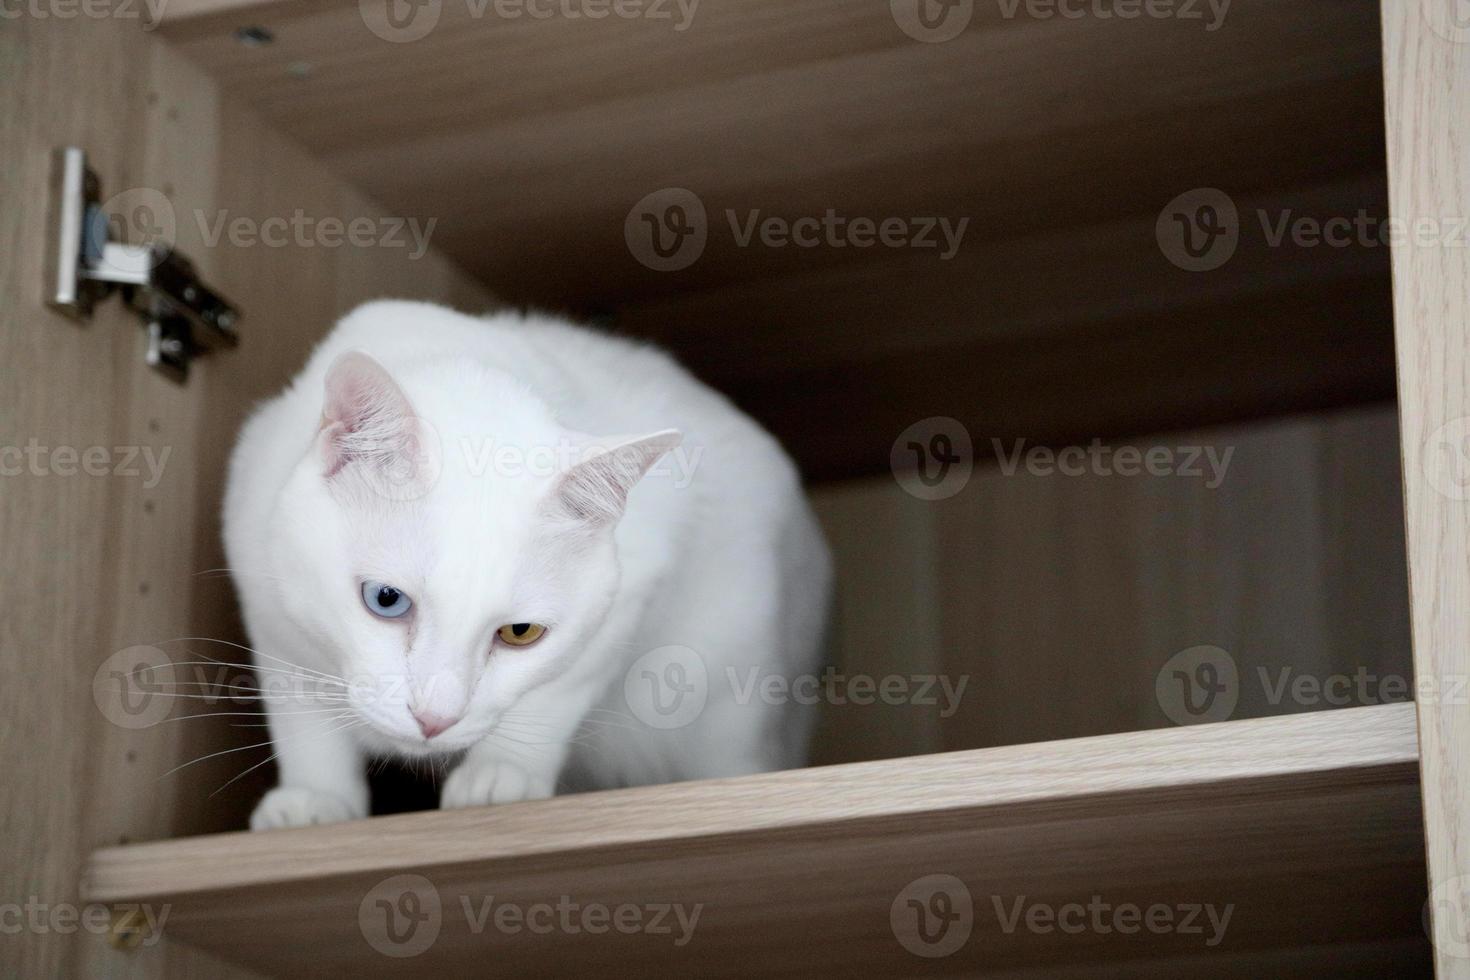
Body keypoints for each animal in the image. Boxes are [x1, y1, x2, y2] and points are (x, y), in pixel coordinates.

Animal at [223, 301, 834, 828]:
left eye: (521, 632)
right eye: (386, 600)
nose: (435, 719)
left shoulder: (632, 590)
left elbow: (551, 697)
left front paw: (501, 774)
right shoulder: (267, 607)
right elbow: (303, 720)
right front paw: (315, 798)